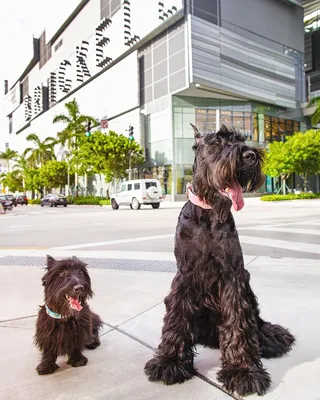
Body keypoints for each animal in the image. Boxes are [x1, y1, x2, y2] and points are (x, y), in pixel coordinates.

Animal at [145, 125, 296, 396]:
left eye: (242, 139)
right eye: (217, 141)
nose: (250, 156)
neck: (208, 213)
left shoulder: (233, 277)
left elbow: (238, 321)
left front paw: (242, 370)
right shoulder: (185, 275)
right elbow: (176, 317)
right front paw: (169, 361)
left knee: (256, 322)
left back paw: (270, 336)